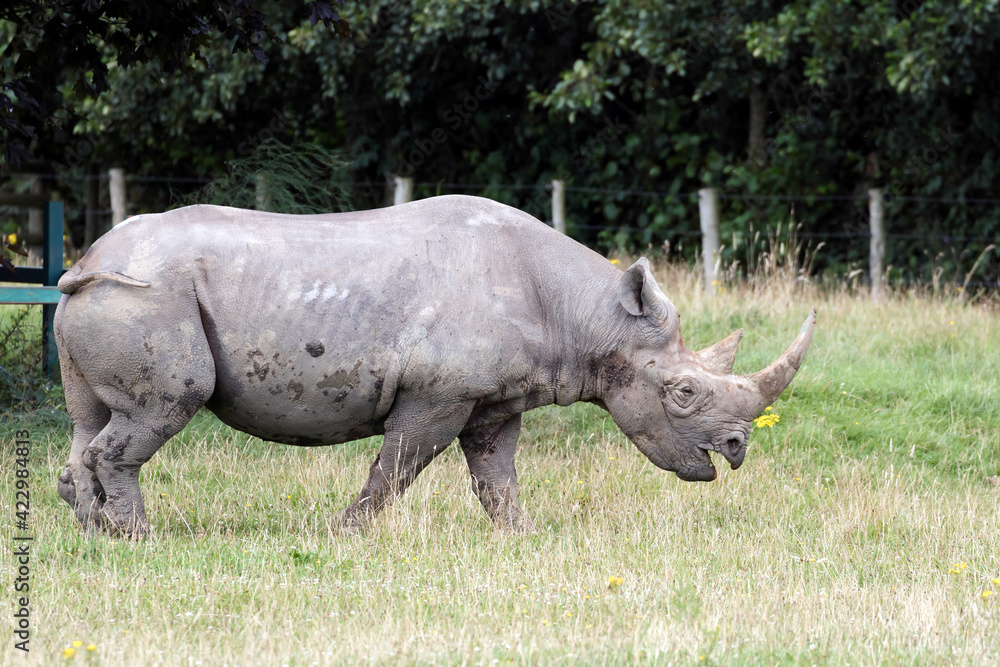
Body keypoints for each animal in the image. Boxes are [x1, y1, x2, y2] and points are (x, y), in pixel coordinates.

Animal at [54, 195, 815, 537]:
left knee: (90, 419)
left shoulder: (495, 400)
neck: (588, 315)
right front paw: (345, 533)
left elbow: (497, 476)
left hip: (107, 300)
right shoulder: (438, 394)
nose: (737, 448)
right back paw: (142, 538)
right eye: (683, 391)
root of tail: (84, 262)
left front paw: (520, 538)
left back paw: (93, 528)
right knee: (164, 406)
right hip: (148, 296)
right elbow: (395, 468)